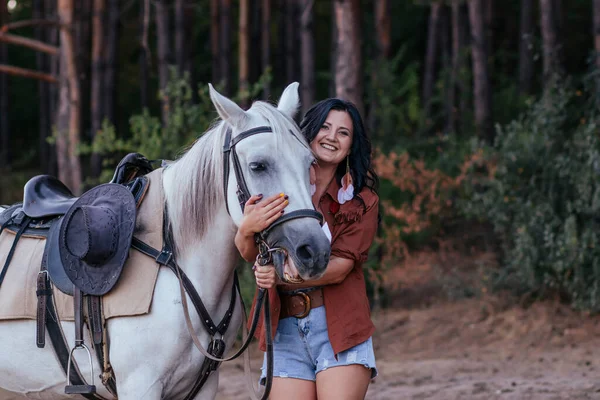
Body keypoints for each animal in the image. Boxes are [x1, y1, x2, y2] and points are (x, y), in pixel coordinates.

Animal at [0, 83, 330, 398]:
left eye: (309, 163)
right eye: (258, 165)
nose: (315, 251)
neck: (172, 258)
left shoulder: (204, 387)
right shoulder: (140, 385)